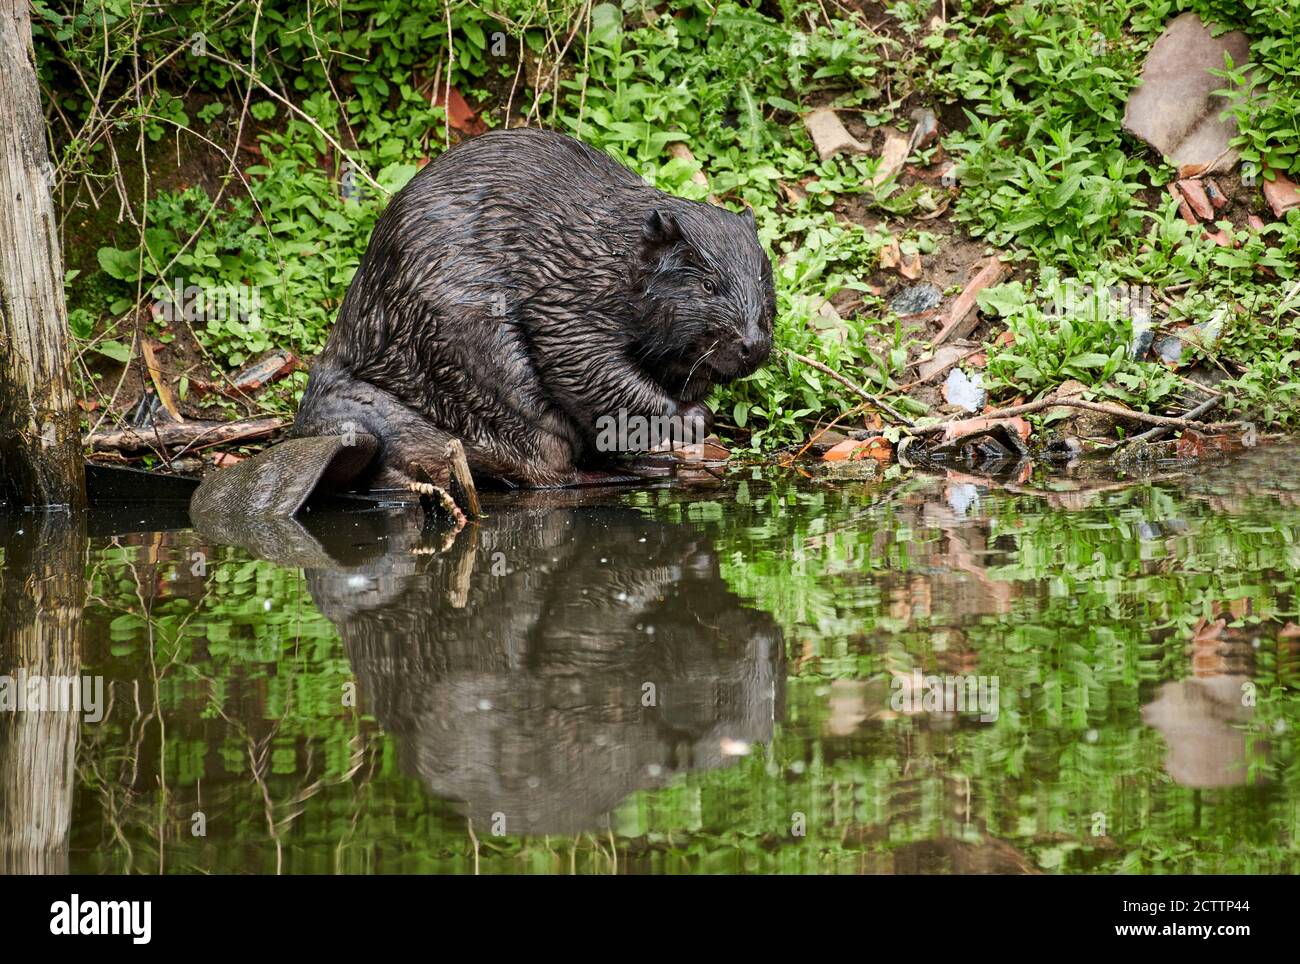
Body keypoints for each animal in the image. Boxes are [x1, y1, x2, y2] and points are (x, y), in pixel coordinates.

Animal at [189, 128, 769, 522]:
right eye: (708, 285)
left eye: (765, 279)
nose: (753, 346)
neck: (611, 252)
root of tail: (338, 430)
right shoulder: (566, 297)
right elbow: (584, 365)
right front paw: (696, 418)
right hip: (481, 373)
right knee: (544, 471)